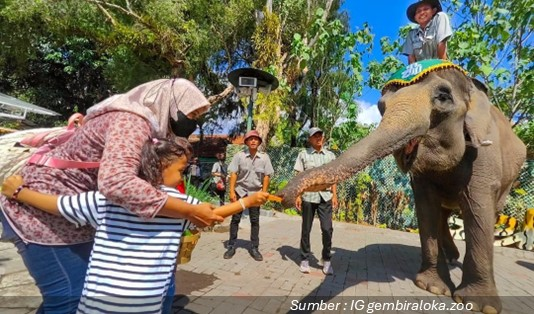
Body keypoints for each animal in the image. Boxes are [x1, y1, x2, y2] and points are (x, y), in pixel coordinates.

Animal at [278, 60, 528, 312]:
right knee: (443, 213)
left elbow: (479, 212)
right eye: (381, 106)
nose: (282, 195)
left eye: (443, 96)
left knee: (486, 210)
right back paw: (450, 257)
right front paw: (432, 288)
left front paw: (479, 306)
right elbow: (426, 208)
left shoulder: (485, 157)